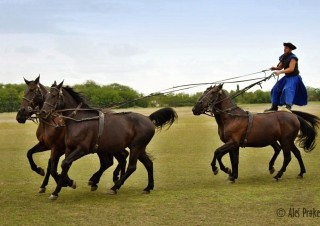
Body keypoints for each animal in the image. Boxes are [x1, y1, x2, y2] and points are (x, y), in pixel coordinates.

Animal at [39, 80, 178, 200]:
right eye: (46, 96)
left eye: (54, 95)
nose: (43, 112)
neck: (80, 120)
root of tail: (148, 118)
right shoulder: (69, 149)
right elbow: (64, 165)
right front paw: (61, 188)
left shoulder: (82, 149)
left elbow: (64, 164)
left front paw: (61, 187)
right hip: (139, 148)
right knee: (148, 164)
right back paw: (148, 187)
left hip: (135, 146)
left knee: (131, 166)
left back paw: (114, 187)